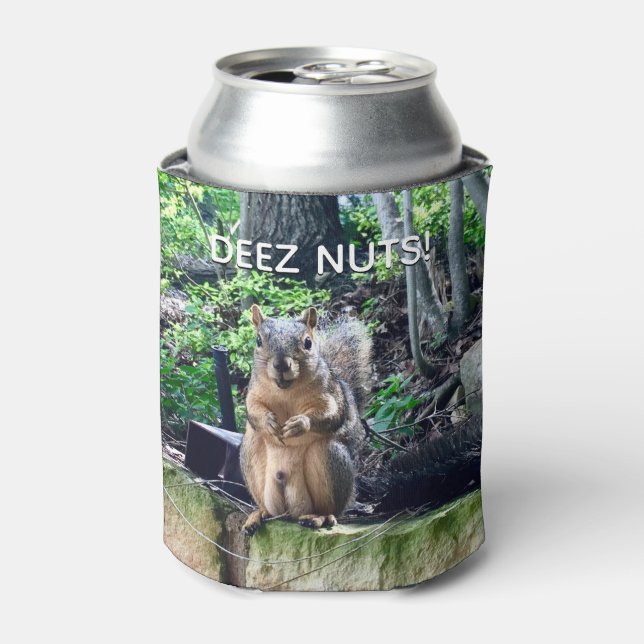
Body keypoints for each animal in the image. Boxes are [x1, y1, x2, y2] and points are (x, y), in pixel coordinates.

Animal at [240, 304, 372, 535]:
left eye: (308, 342)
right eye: (258, 340)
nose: (281, 364)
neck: (285, 391)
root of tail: (290, 511)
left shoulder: (330, 394)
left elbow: (332, 414)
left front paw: (299, 424)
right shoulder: (253, 393)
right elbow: (253, 411)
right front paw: (268, 422)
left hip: (329, 457)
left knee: (329, 509)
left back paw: (320, 517)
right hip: (251, 453)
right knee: (268, 509)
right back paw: (258, 515)